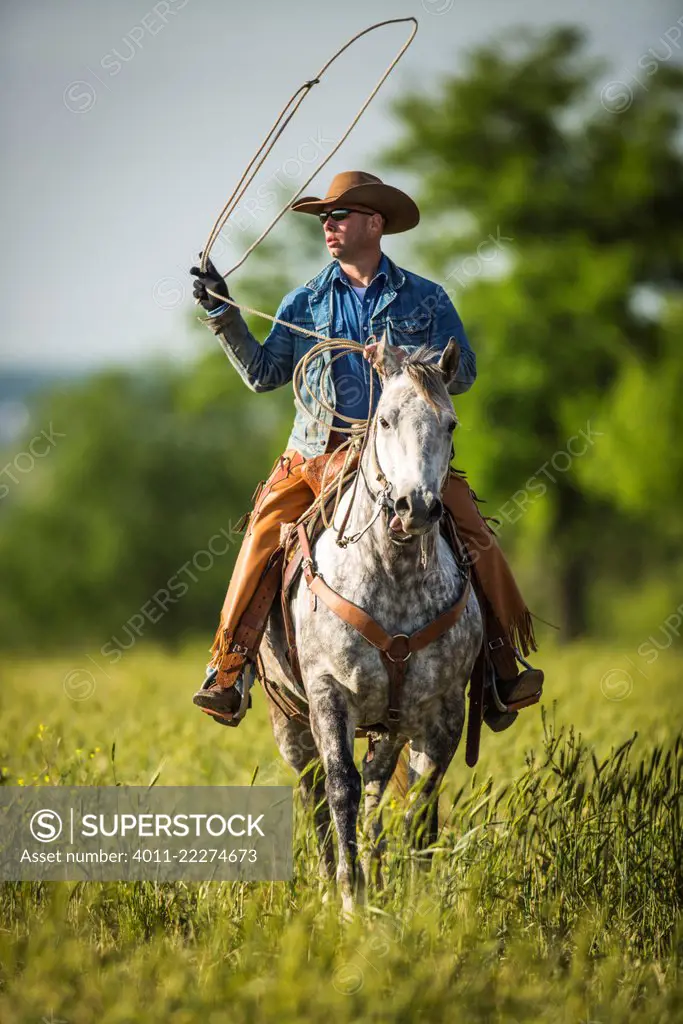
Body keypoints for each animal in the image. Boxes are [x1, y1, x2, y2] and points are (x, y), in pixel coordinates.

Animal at [258, 337, 485, 913]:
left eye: (451, 423)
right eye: (384, 420)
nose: (416, 506)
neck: (393, 576)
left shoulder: (444, 709)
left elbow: (421, 803)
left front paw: (417, 900)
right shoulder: (328, 693)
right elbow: (341, 786)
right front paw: (348, 900)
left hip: (391, 724)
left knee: (379, 786)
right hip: (288, 718)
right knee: (314, 790)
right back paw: (326, 883)